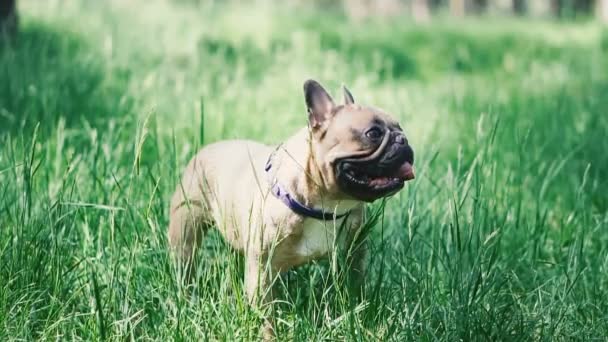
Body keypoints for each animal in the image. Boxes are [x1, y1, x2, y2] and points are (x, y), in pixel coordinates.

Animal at [167, 79, 414, 338]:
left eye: (400, 127)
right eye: (373, 133)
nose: (403, 140)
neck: (325, 206)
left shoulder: (352, 255)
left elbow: (354, 291)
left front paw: (359, 318)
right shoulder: (262, 272)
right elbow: (266, 316)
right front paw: (269, 336)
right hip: (185, 231)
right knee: (185, 263)